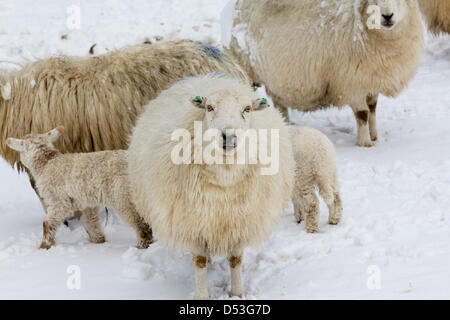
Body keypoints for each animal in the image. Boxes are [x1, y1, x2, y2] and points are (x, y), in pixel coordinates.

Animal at [5, 127, 153, 250]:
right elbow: (89, 222)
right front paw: (99, 240)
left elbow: (48, 223)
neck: (47, 163)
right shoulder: (86, 201)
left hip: (123, 196)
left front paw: (44, 246)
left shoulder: (58, 200)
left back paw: (143, 245)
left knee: (140, 222)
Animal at [127, 75, 296, 300]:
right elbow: (199, 261)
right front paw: (202, 296)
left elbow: (235, 260)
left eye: (247, 109)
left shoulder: (239, 223)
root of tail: (207, 77)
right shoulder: (193, 223)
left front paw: (237, 293)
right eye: (209, 107)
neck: (225, 175)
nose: (229, 136)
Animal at [229, 0, 426, 147]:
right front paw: (365, 143)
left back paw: (286, 124)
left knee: (279, 102)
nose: (387, 16)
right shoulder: (352, 83)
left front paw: (374, 135)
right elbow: (363, 114)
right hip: (246, 68)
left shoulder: (370, 80)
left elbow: (373, 109)